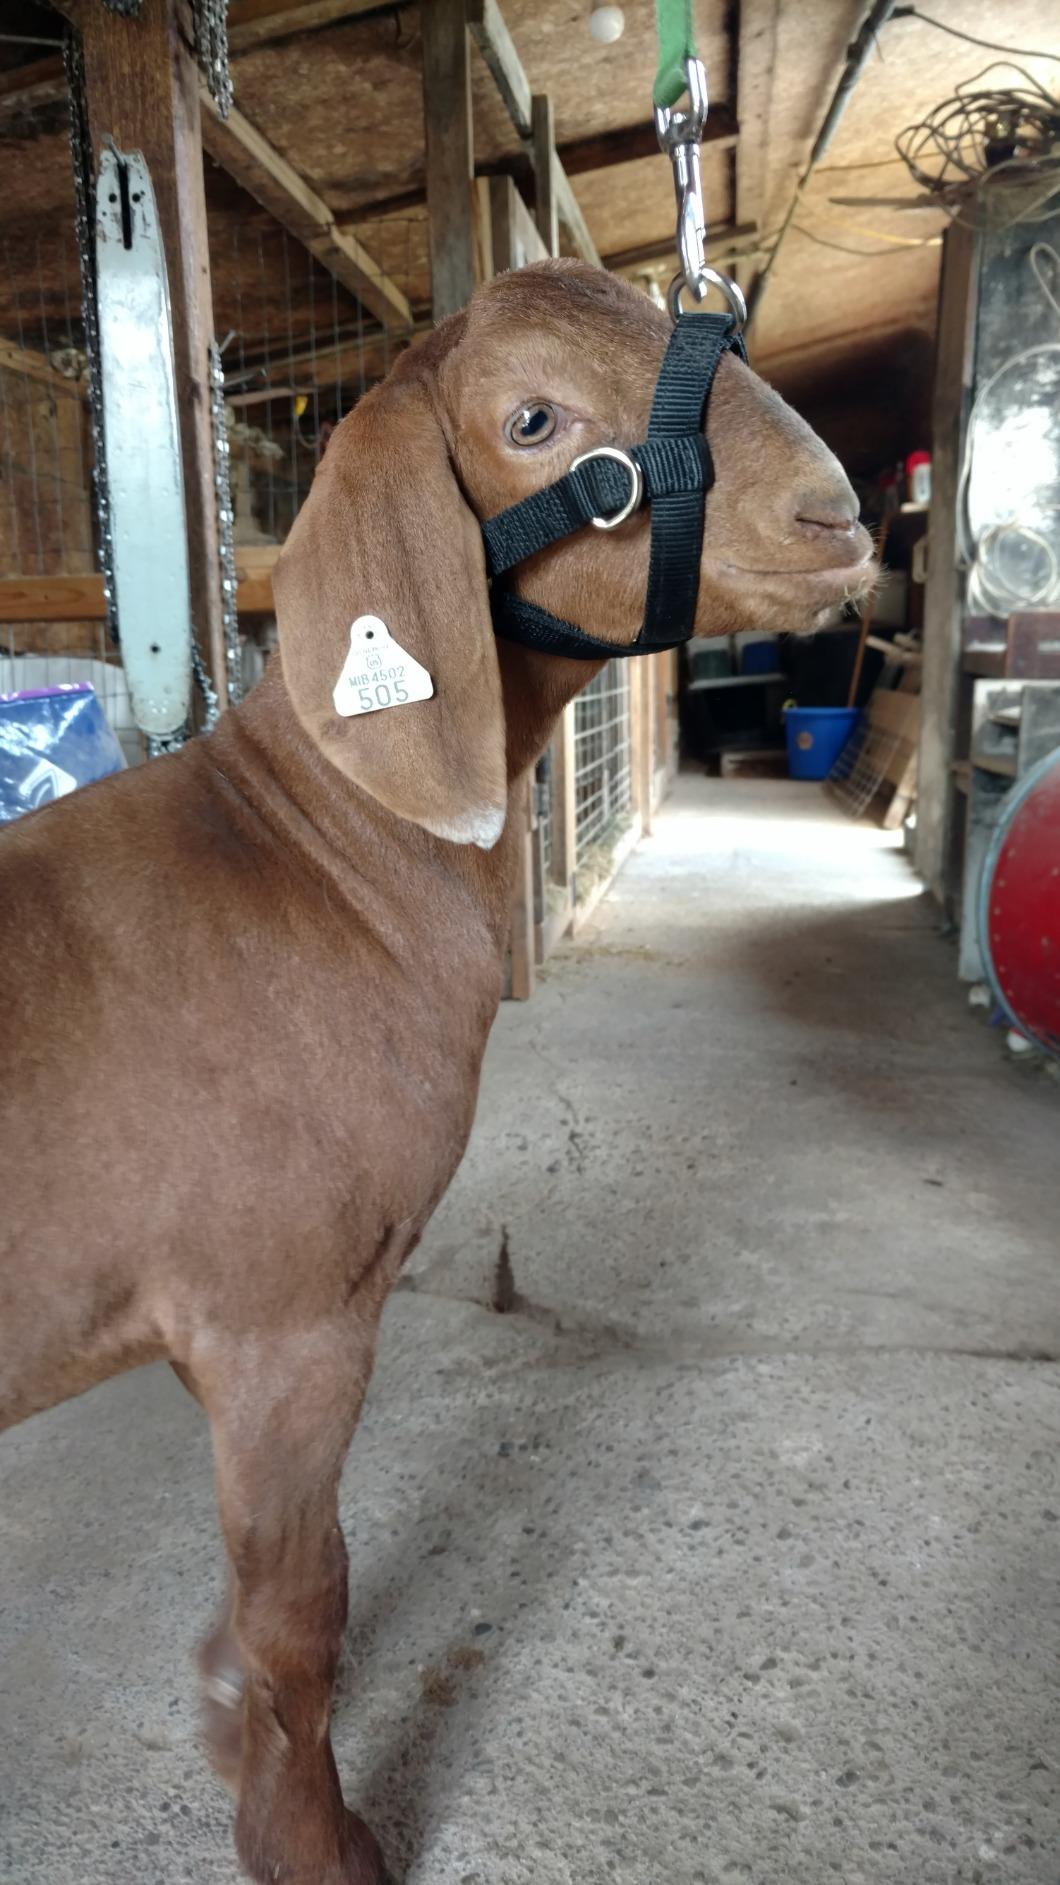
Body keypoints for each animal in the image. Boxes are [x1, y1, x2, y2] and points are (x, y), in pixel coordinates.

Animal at [0, 260, 873, 1884]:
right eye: (533, 421)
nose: (838, 515)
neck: (313, 843)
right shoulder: (281, 1317)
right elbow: (301, 1613)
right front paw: (316, 1842)